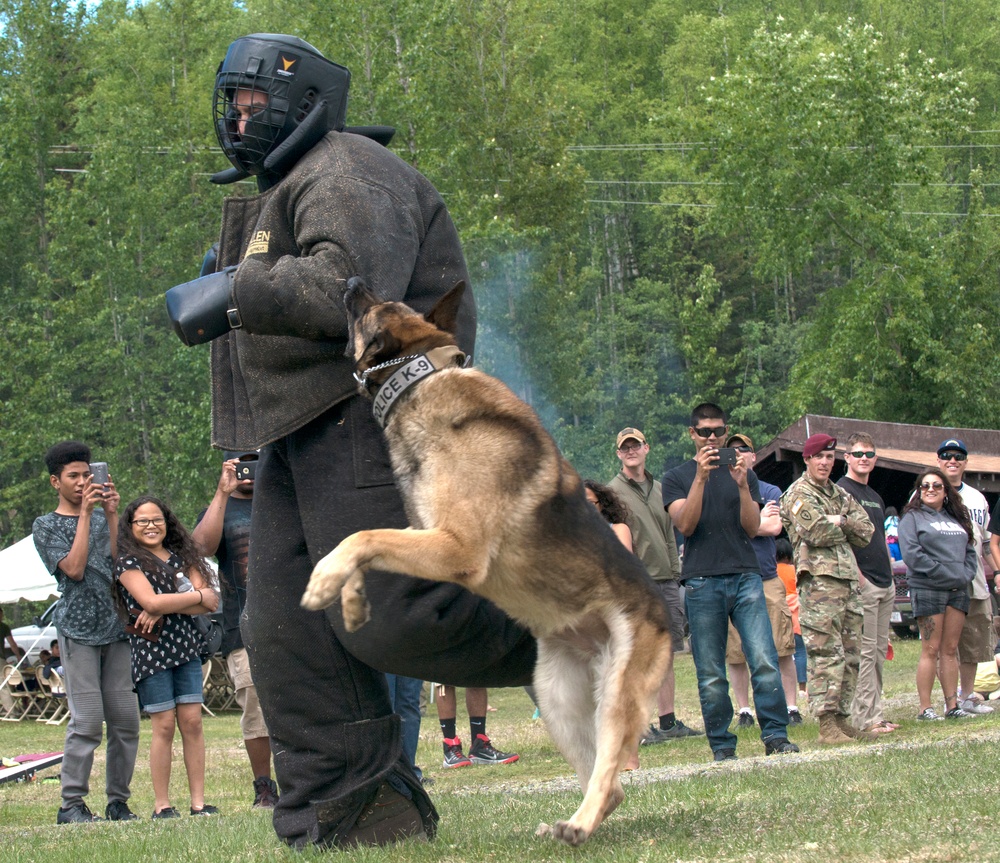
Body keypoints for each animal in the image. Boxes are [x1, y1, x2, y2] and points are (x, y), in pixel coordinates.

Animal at [300, 280, 668, 848]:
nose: (350, 283)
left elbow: (361, 534)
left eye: (371, 308)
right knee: (611, 785)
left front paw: (323, 582)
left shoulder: (456, 548)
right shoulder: (428, 535)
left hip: (615, 698)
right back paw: (572, 825)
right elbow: (371, 543)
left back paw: (579, 824)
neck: (422, 379)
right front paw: (352, 598)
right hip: (558, 702)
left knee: (610, 771)